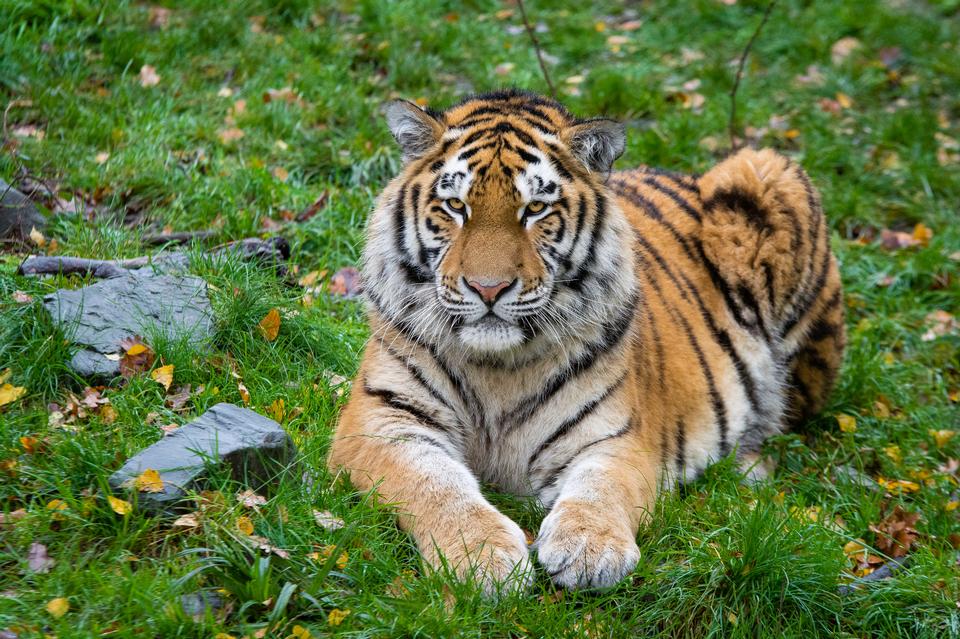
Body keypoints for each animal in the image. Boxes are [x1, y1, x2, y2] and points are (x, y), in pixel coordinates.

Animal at [326, 90, 844, 596]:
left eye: (535, 209)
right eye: (455, 206)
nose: (489, 289)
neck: (496, 369)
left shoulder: (616, 437)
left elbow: (601, 488)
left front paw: (590, 550)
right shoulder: (381, 420)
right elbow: (435, 485)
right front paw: (481, 557)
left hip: (767, 172)